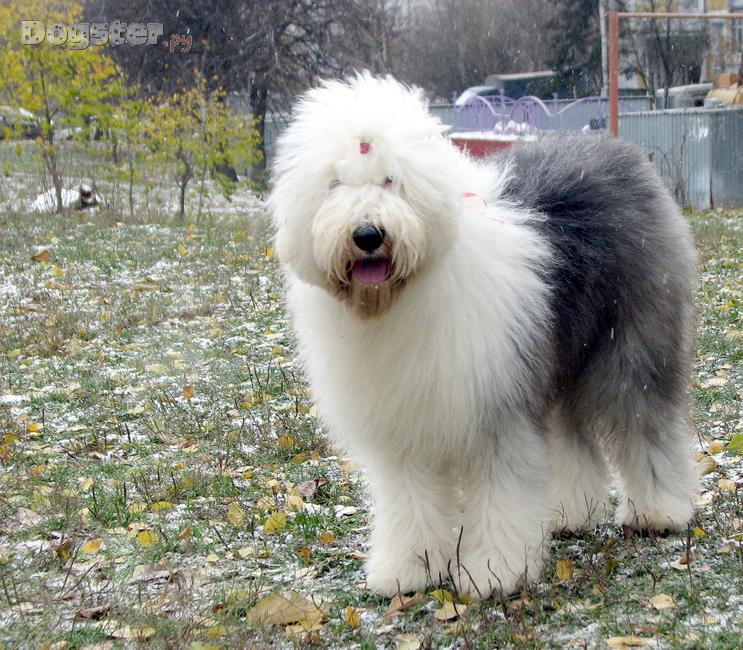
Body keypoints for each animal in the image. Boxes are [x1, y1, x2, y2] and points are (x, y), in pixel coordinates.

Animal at [269, 73, 698, 599]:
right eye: (334, 184)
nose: (368, 234)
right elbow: (410, 500)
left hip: (632, 339)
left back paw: (659, 511)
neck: (407, 295)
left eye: (392, 180)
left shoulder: (496, 410)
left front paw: (494, 571)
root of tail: (618, 149)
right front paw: (408, 569)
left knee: (643, 420)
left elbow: (501, 493)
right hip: (556, 348)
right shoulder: (405, 424)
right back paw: (568, 513)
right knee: (570, 434)